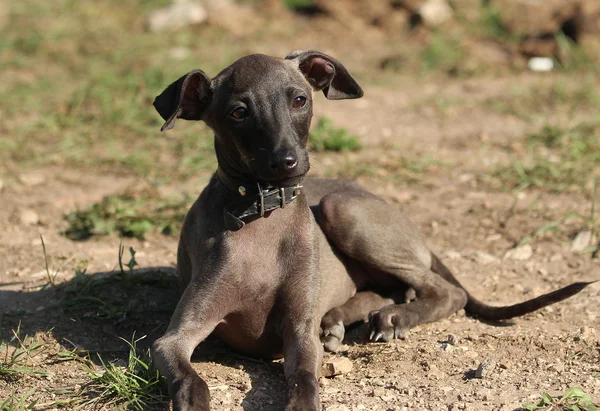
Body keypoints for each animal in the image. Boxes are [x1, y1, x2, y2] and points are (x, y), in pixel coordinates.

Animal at [149, 50, 592, 410]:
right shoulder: (174, 339)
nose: (287, 162)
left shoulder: (299, 332)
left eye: (299, 99)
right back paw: (347, 319)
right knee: (390, 290)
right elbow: (190, 378)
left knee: (448, 291)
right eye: (238, 112)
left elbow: (305, 380)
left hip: (342, 210)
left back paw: (392, 318)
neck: (263, 213)